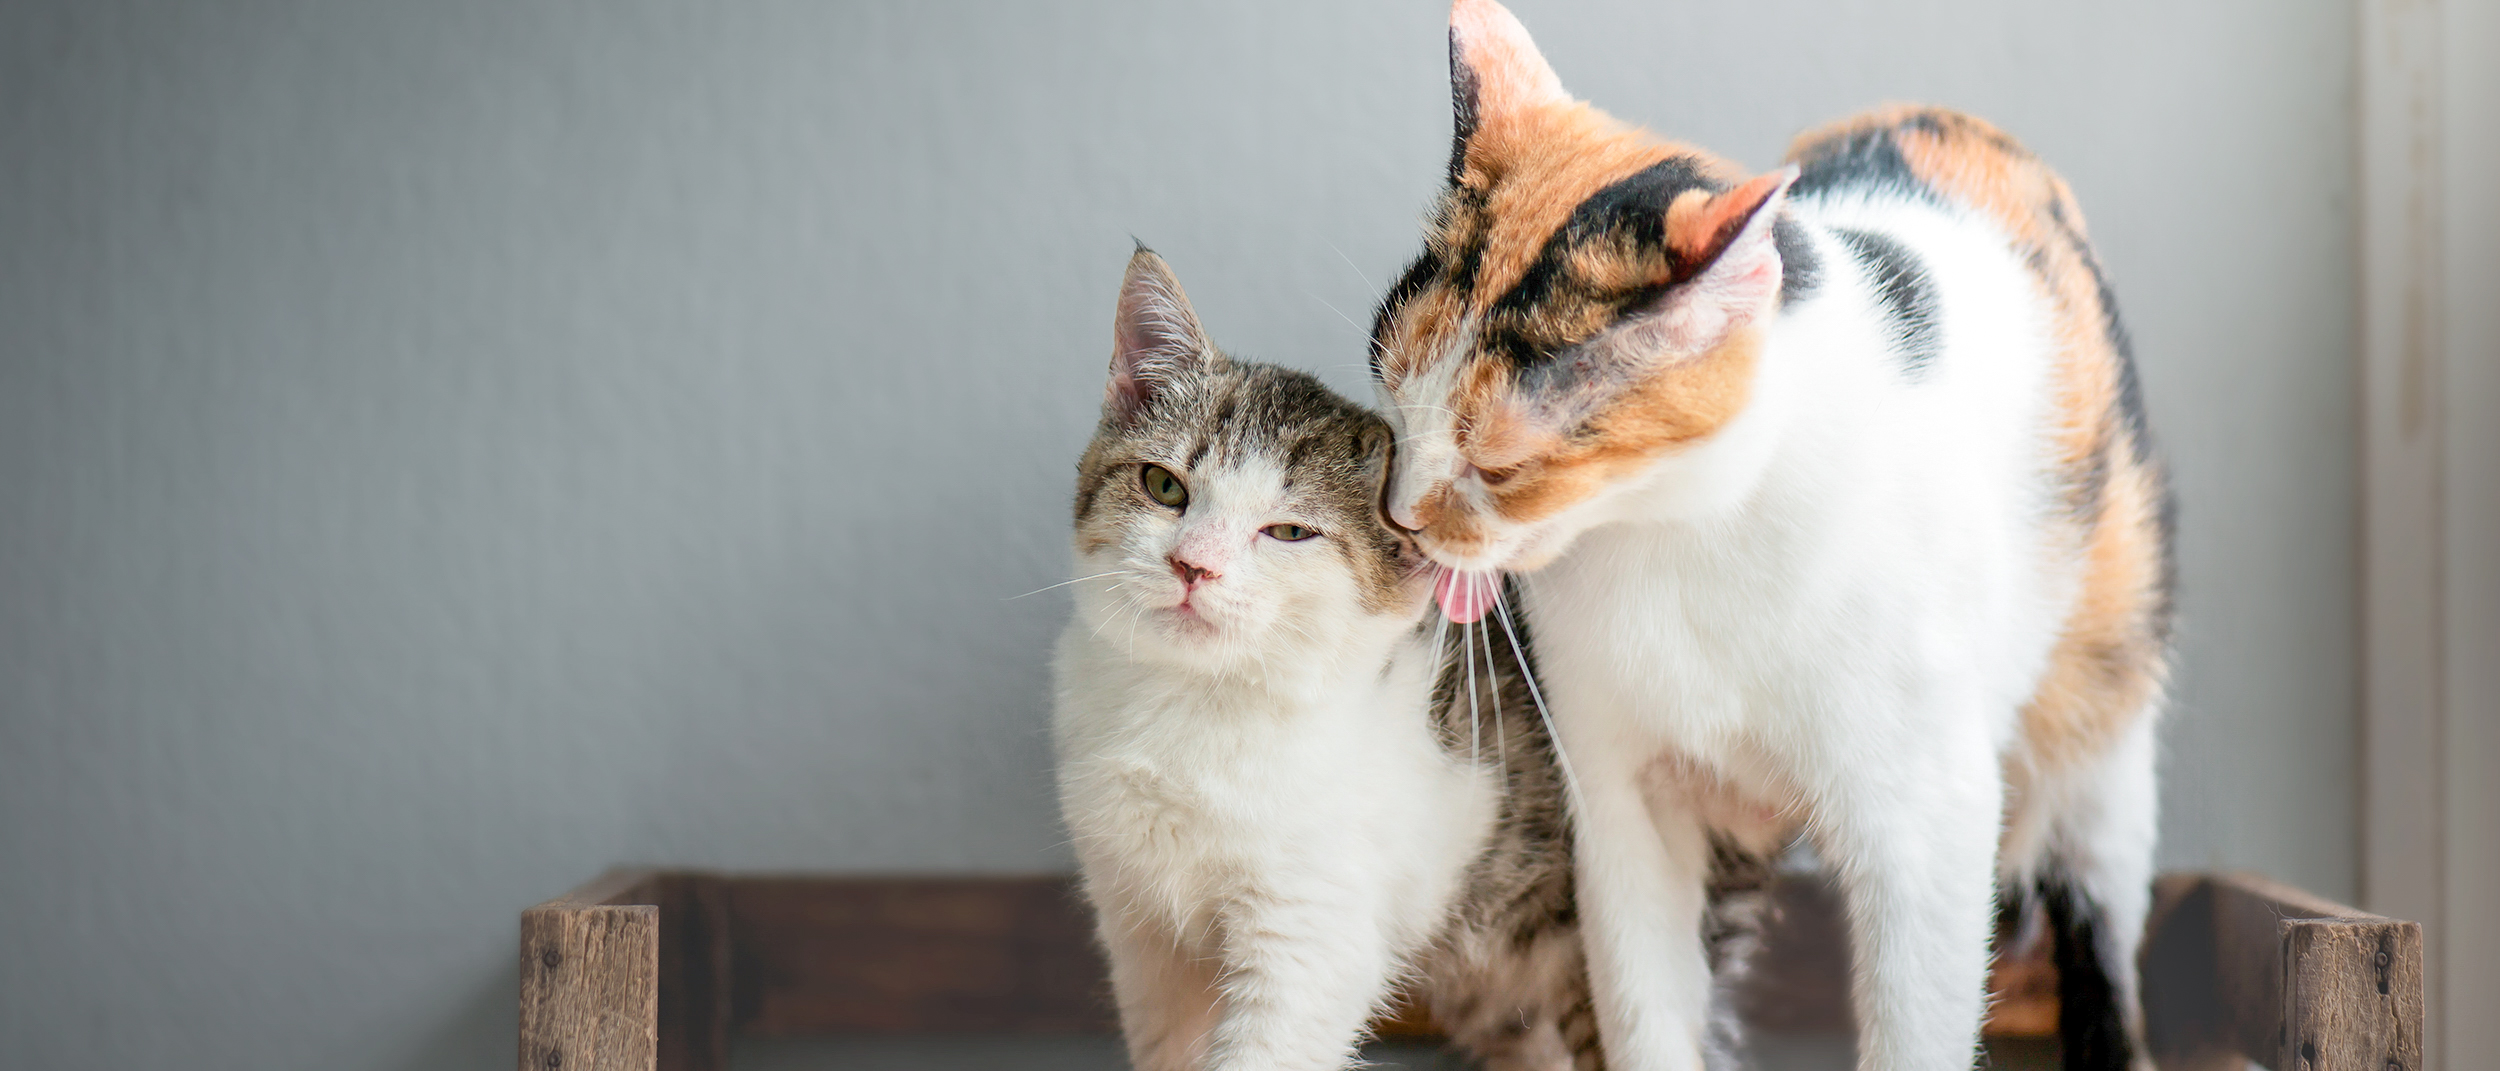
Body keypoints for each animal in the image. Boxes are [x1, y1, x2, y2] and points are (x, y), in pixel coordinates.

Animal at [1050, 246, 1610, 1071]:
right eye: (1163, 485)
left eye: (1289, 532)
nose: (1193, 565)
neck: (1200, 706)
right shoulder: (1138, 927)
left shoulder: (1313, 927)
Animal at [1370, 8, 2170, 1071]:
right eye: (1389, 388)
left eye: (1498, 467)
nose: (1400, 513)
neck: (1677, 534)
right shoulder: (1619, 804)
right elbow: (1645, 1011)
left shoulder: (1930, 819)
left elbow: (1916, 1024)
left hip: (2101, 717)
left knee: (2101, 912)